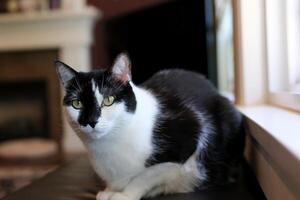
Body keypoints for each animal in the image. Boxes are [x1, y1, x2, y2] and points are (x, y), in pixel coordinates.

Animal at [55, 53, 245, 200]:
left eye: (108, 100)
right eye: (77, 103)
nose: (91, 121)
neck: (107, 145)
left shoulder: (188, 140)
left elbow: (145, 176)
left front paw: (124, 195)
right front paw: (109, 191)